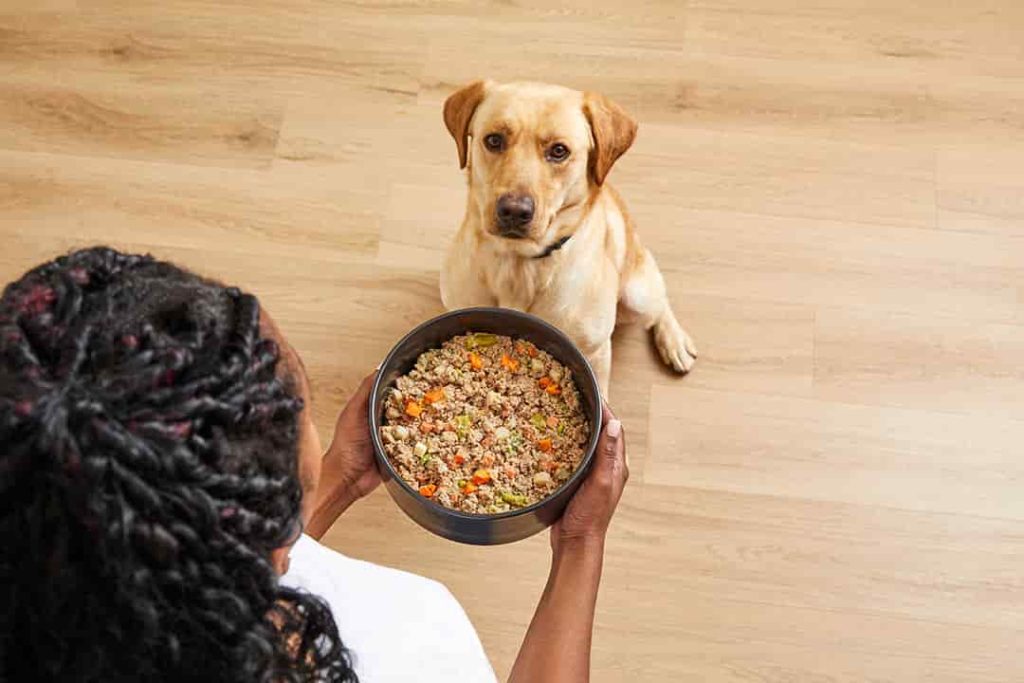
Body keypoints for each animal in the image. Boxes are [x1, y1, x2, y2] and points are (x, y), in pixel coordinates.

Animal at [440, 81, 696, 395]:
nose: (514, 211)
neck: (520, 264)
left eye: (559, 151)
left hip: (638, 295)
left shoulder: (595, 353)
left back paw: (674, 341)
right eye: (494, 140)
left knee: (660, 302)